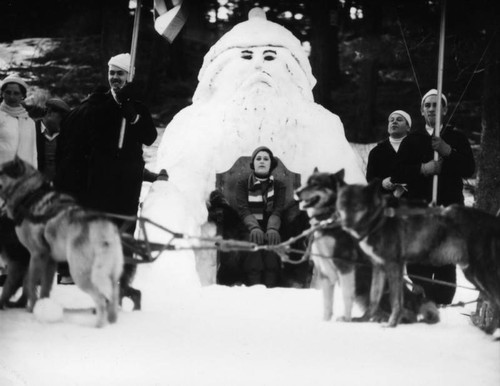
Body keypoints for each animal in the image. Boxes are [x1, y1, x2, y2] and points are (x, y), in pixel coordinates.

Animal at [296, 169, 438, 322]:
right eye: (306, 182)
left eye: (316, 184)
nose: (297, 192)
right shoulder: (326, 271)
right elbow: (328, 304)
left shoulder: (345, 267)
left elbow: (345, 298)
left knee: (405, 313)